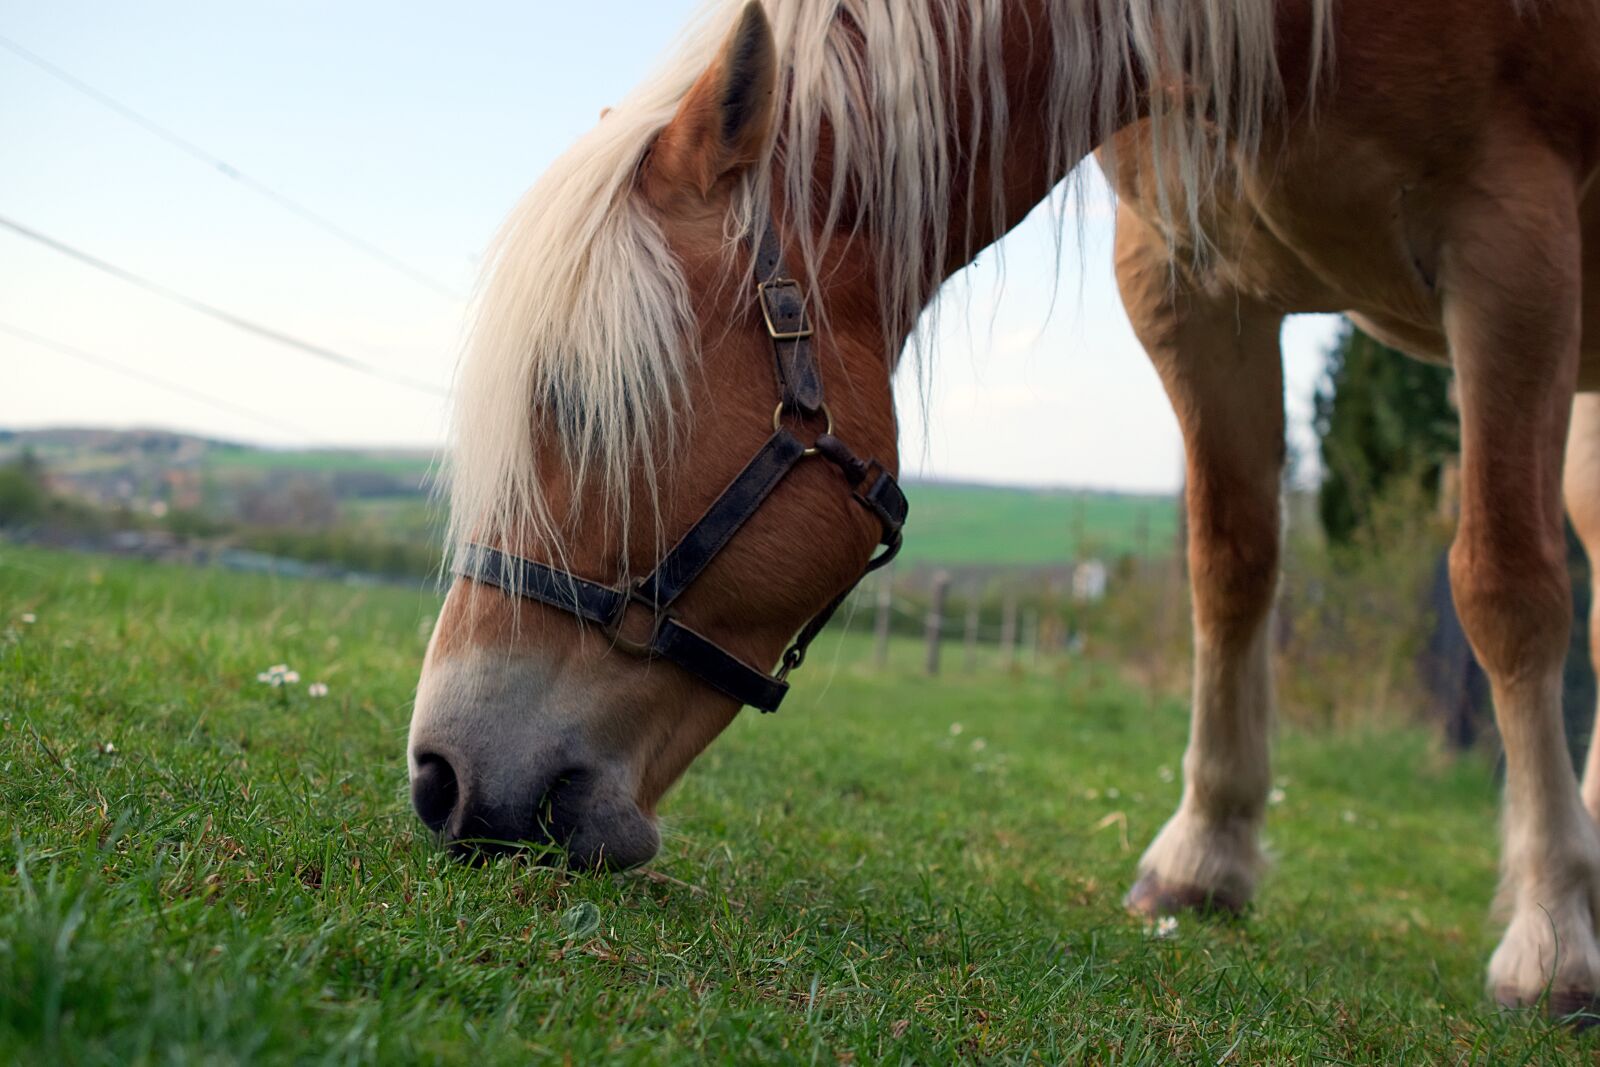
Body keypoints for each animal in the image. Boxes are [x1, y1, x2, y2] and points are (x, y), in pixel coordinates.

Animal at [406, 0, 1600, 1016]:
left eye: (577, 403)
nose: (439, 777)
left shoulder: (1513, 243)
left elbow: (1505, 587)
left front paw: (1551, 932)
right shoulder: (1187, 280)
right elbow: (1230, 562)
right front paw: (1205, 855)